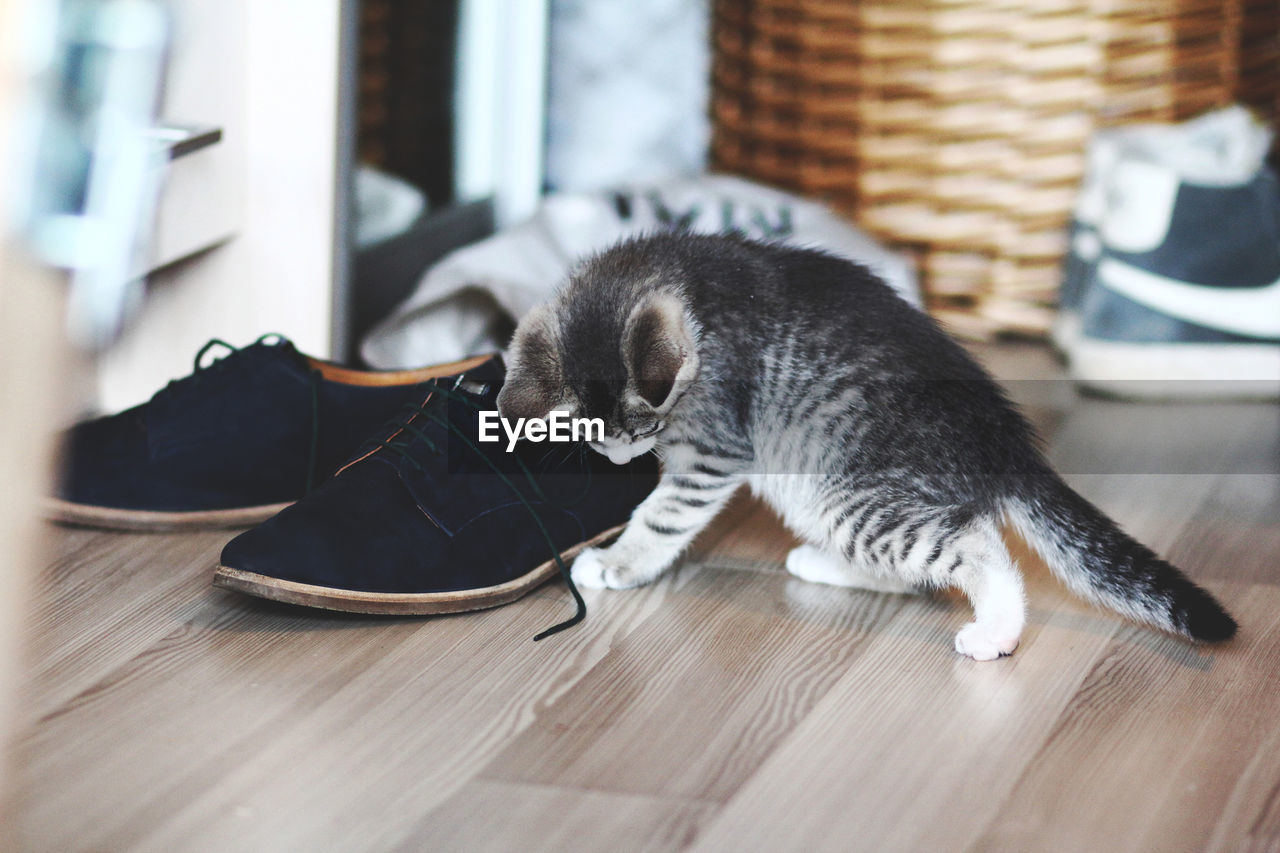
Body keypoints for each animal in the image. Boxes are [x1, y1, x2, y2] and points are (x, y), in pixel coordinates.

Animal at [494, 230, 1233, 655]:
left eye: (643, 429)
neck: (671, 274)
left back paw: (996, 628)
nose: (621, 457)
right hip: (810, 487)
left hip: (844, 491)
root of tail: (1005, 444)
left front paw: (620, 561)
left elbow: (663, 514)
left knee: (974, 543)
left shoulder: (713, 451)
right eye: (596, 438)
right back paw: (824, 564)